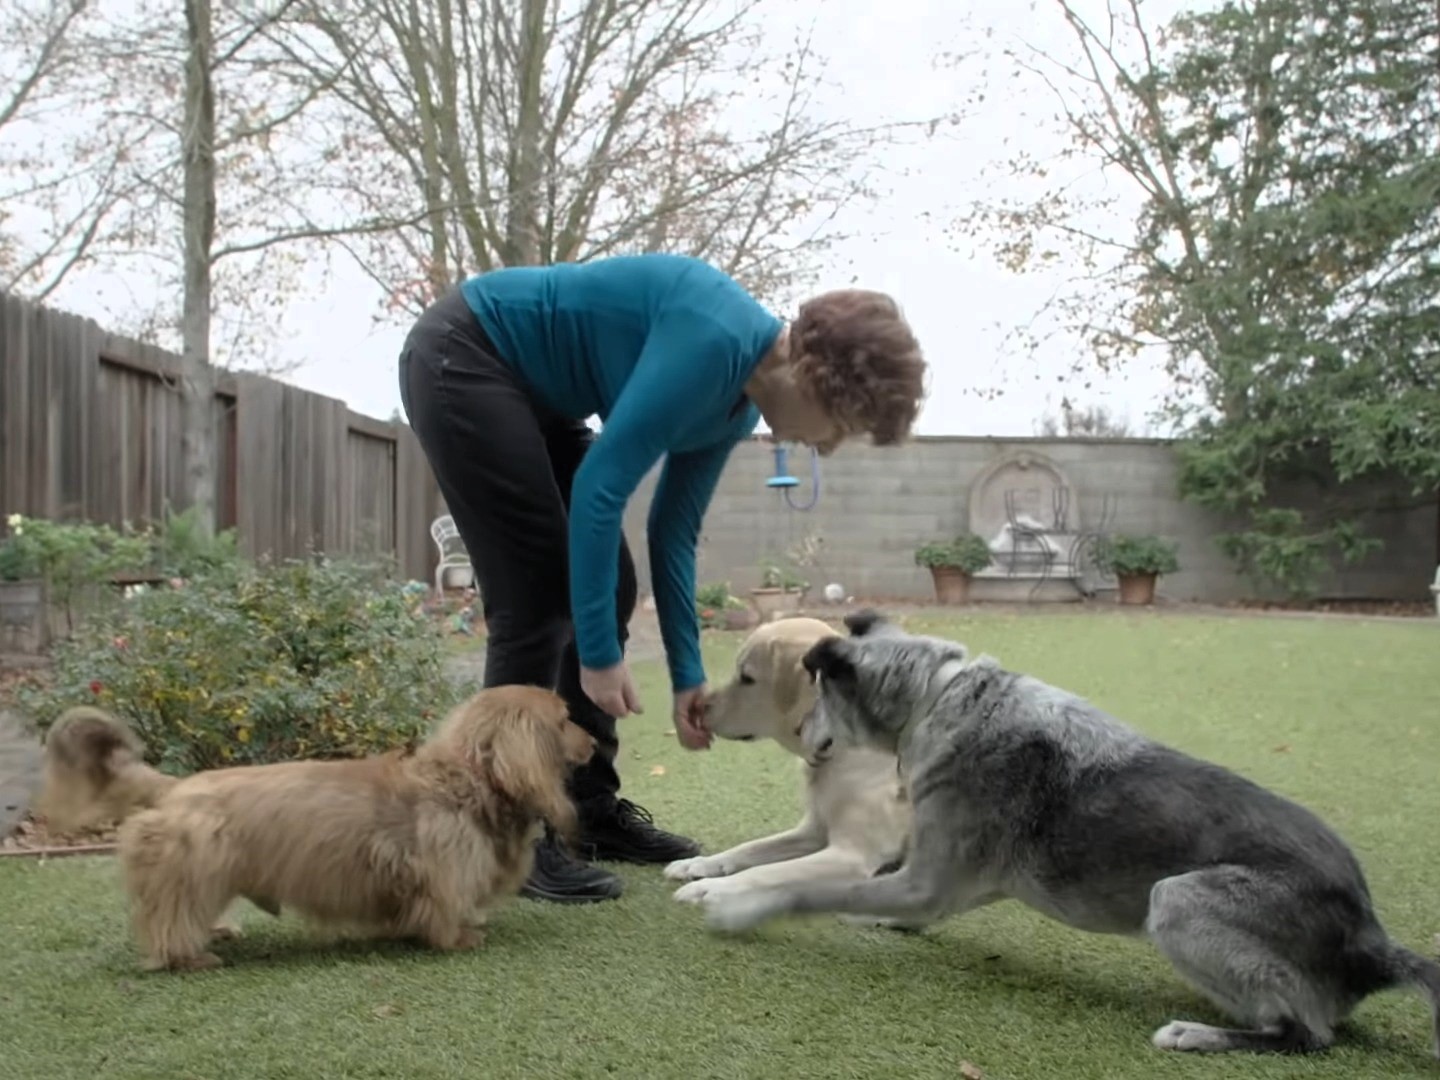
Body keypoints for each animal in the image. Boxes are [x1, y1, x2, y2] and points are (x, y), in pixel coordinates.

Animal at [39, 685, 593, 973]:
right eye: (565, 719)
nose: (592, 741)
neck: (466, 780)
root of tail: (173, 789)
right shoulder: (442, 875)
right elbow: (444, 912)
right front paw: (459, 937)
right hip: (191, 864)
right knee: (167, 919)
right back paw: (189, 956)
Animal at [662, 616, 910, 904]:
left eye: (747, 678)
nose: (699, 709)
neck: (835, 746)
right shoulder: (813, 831)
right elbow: (748, 848)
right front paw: (698, 863)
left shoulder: (851, 855)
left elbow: (764, 871)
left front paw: (709, 888)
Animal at [702, 613, 1440, 1059]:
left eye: (821, 696)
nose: (804, 734)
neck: (937, 699)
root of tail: (1373, 939)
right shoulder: (945, 880)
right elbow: (867, 895)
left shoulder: (920, 879)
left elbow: (807, 889)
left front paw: (738, 903)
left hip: (1175, 899)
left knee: (1307, 1034)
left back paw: (1199, 1033)